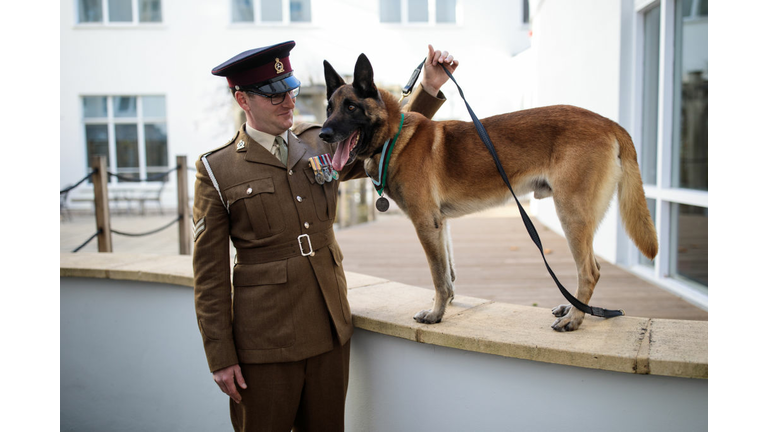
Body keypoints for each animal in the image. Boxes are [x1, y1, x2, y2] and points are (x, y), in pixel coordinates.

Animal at [320, 54, 656, 330]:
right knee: (592, 268)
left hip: (571, 214)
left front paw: (436, 314)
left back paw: (574, 318)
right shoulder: (440, 224)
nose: (322, 133)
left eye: (351, 107)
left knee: (590, 272)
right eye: (329, 108)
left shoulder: (425, 223)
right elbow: (448, 273)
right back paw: (574, 309)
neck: (393, 135)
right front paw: (446, 305)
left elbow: (437, 275)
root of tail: (609, 123)